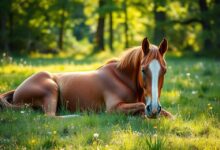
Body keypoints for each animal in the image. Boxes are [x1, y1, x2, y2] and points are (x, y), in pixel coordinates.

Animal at [0, 37, 174, 119]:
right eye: (143, 70)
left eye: (164, 71)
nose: (153, 109)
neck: (121, 78)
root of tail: (17, 90)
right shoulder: (113, 108)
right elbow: (140, 106)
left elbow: (170, 115)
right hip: (51, 89)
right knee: (50, 117)